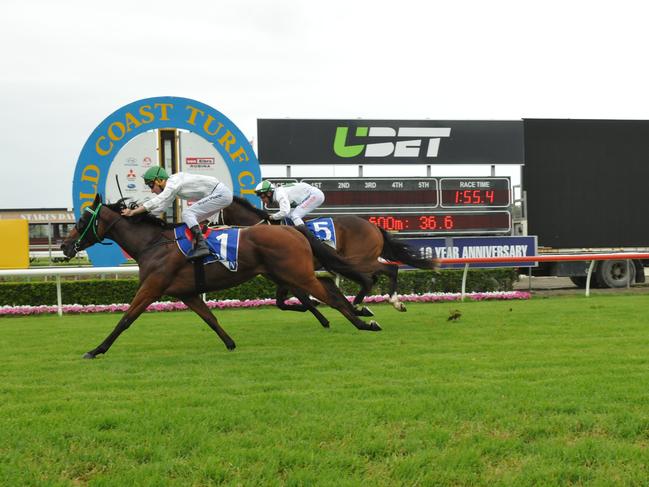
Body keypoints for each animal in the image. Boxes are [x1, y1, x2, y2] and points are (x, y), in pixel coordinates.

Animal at [60, 194, 380, 358]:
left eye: (82, 220)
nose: (64, 246)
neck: (152, 244)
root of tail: (293, 230)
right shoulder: (186, 293)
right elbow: (210, 319)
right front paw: (230, 343)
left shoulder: (152, 287)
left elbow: (125, 319)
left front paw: (96, 349)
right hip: (291, 272)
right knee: (328, 288)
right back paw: (359, 312)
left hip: (296, 272)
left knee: (330, 294)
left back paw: (363, 322)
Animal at [219, 196, 440, 314]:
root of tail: (373, 225)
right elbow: (281, 302)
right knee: (377, 276)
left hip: (359, 259)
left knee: (389, 269)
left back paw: (387, 302)